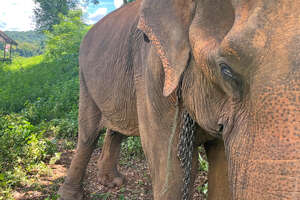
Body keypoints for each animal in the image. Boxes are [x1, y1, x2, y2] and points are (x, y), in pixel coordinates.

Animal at [57, 0, 298, 199]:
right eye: (226, 69)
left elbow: (221, 162)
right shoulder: (153, 73)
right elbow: (173, 171)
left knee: (115, 129)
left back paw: (112, 182)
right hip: (84, 78)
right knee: (88, 134)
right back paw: (71, 194)